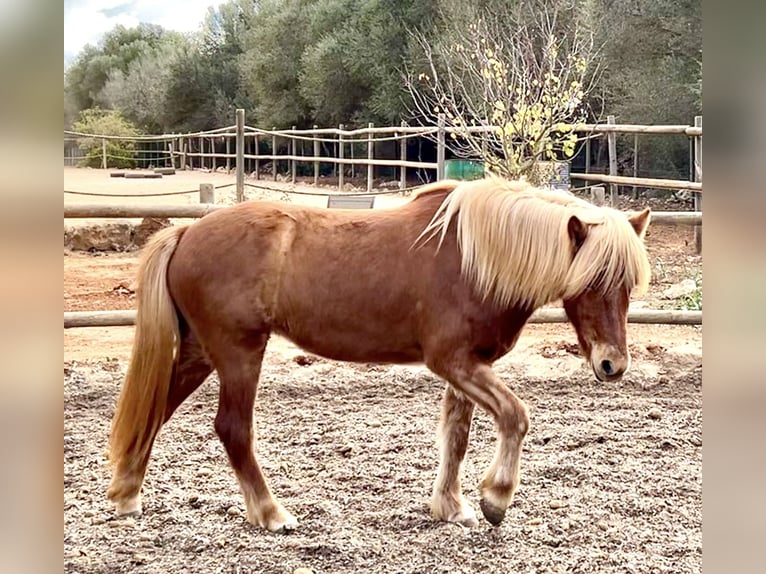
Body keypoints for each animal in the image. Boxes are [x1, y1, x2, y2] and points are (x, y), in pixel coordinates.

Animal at [107, 177, 651, 532]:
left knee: (156, 411)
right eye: (593, 281)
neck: (476, 257)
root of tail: (186, 233)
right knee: (233, 429)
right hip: (240, 353)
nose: (613, 365)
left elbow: (457, 436)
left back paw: (128, 494)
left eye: (627, 286)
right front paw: (495, 499)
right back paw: (272, 514)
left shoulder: (469, 366)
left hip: (201, 353)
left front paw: (450, 506)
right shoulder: (454, 362)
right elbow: (516, 416)